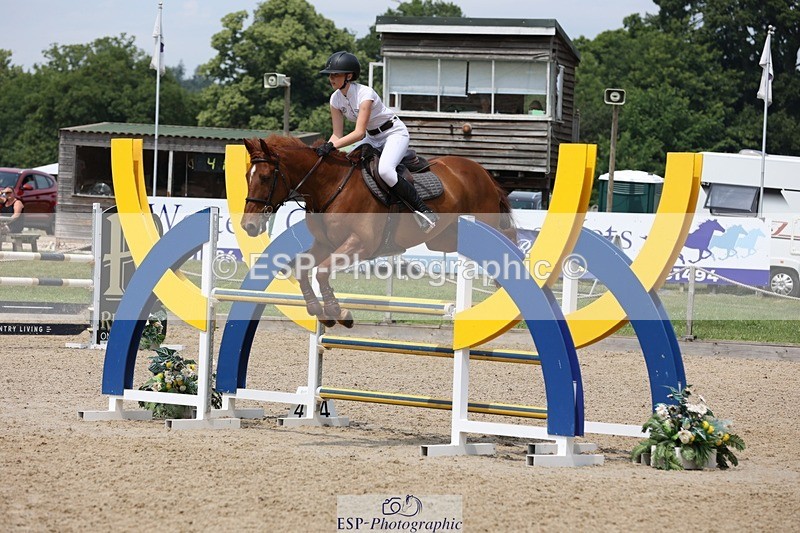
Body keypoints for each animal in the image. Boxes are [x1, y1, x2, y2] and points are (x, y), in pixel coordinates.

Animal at [241, 135, 516, 328]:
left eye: (265, 177)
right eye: (246, 176)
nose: (248, 226)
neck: (331, 186)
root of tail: (481, 171)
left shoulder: (360, 244)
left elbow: (322, 271)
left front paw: (339, 312)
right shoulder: (325, 245)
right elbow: (302, 269)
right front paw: (319, 311)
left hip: (484, 223)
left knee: (507, 247)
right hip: (443, 239)